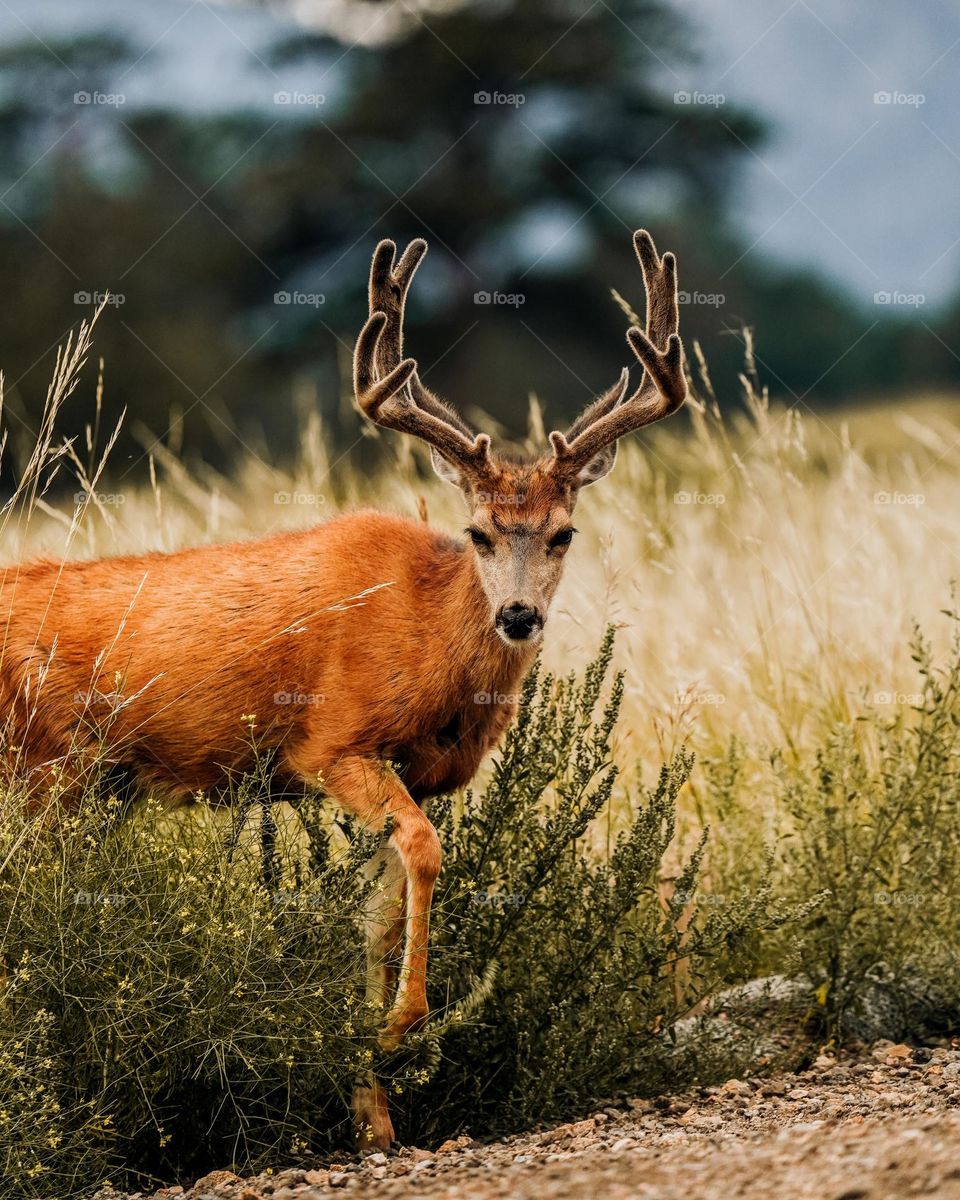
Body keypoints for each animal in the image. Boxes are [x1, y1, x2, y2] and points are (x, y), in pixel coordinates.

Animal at [0, 226, 686, 1152]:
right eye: (478, 531)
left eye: (564, 533)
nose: (517, 616)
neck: (426, 631)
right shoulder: (333, 743)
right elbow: (425, 851)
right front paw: (399, 1027)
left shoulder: (411, 772)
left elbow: (379, 910)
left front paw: (373, 1110)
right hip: (45, 766)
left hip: (87, 786)